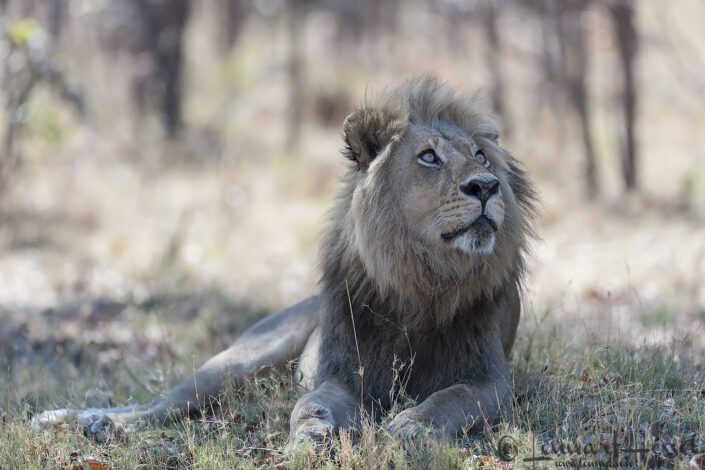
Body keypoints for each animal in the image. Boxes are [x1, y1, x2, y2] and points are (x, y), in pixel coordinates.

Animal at [34, 77, 536, 445]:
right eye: (428, 157)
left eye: (480, 156)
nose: (487, 186)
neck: (422, 281)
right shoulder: (341, 371)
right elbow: (312, 403)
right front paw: (312, 435)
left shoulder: (489, 380)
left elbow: (450, 399)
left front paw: (413, 425)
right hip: (241, 360)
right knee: (163, 404)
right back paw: (91, 420)